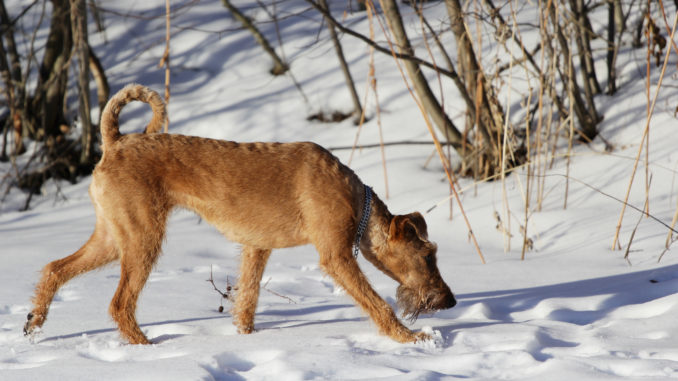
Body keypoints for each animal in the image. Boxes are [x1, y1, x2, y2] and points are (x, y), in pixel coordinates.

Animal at [22, 84, 456, 344]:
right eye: (427, 255)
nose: (450, 301)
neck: (357, 201)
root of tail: (115, 143)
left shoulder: (256, 247)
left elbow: (247, 296)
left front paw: (245, 335)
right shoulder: (335, 257)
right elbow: (376, 303)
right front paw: (410, 338)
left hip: (113, 237)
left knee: (55, 268)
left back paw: (34, 322)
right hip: (142, 238)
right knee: (119, 302)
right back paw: (145, 347)